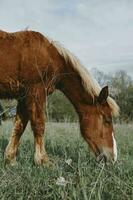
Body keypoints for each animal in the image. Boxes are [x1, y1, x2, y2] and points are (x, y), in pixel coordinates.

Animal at [0, 29, 119, 164]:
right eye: (107, 120)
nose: (113, 157)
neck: (50, 56)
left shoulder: (23, 97)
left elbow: (19, 126)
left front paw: (10, 159)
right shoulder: (36, 92)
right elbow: (39, 124)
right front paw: (42, 160)